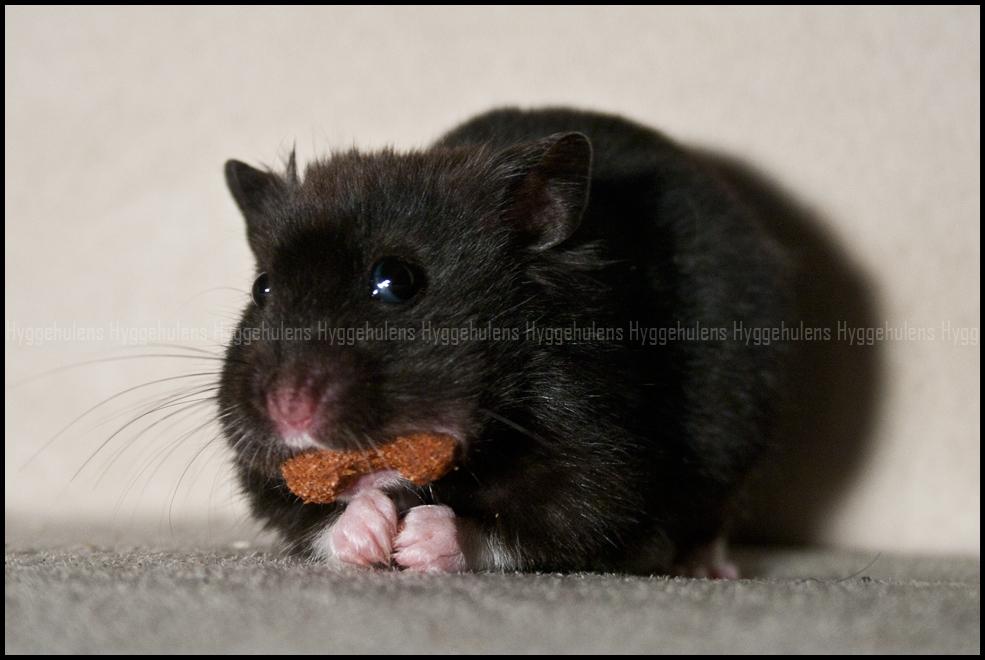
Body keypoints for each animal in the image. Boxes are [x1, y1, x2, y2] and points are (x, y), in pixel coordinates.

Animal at [218, 107, 791, 574]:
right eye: (262, 288)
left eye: (396, 280)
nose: (288, 410)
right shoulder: (263, 475)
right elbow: (310, 518)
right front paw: (374, 528)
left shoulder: (604, 461)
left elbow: (546, 525)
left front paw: (417, 539)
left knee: (709, 518)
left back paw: (707, 570)